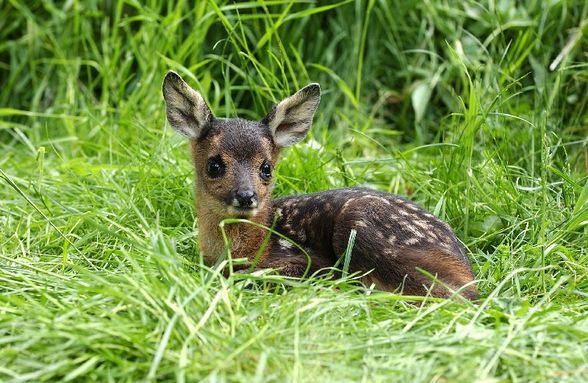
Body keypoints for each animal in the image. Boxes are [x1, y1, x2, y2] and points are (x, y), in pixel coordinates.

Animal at [161, 71, 478, 300]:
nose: (246, 196)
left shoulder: (305, 260)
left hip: (362, 225)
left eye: (266, 168)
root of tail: (465, 266)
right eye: (214, 165)